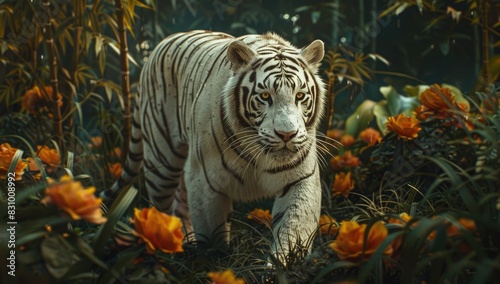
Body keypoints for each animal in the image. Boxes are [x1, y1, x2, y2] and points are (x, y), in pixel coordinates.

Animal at [103, 30, 326, 260]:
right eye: (265, 96)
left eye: (300, 95)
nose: (287, 134)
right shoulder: (204, 180)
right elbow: (212, 233)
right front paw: (216, 259)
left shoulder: (300, 179)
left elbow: (293, 227)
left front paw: (284, 263)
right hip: (161, 164)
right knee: (161, 207)